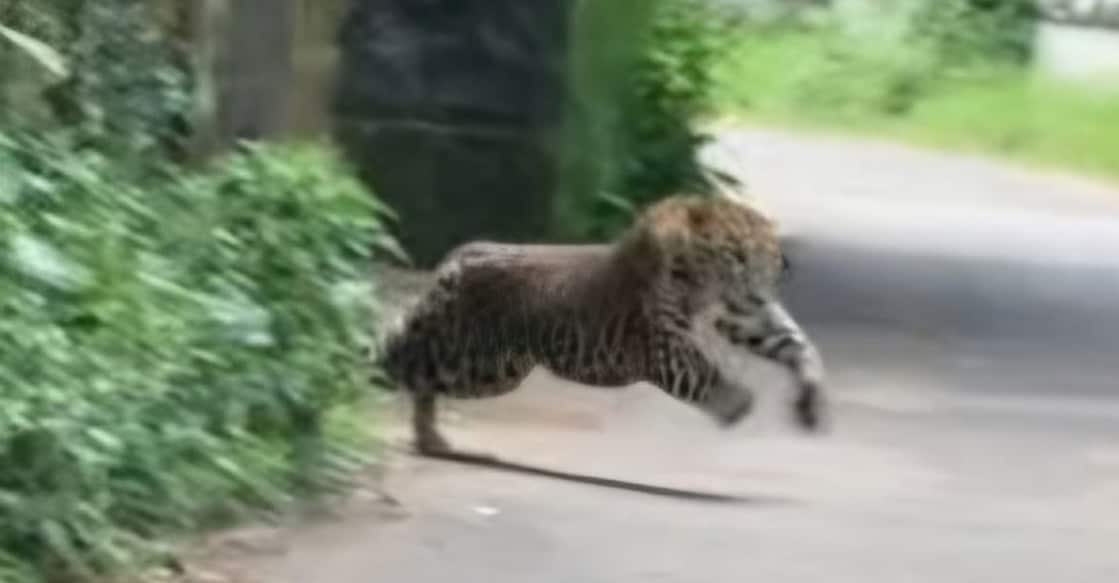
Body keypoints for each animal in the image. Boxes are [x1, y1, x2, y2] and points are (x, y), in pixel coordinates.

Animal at [378, 193, 829, 456]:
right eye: (738, 250)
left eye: (769, 247)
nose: (782, 267)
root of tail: (456, 257)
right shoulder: (661, 343)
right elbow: (700, 368)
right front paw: (738, 401)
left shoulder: (742, 316)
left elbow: (793, 343)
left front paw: (811, 399)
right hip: (475, 360)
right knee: (397, 357)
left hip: (490, 368)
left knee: (420, 378)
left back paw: (430, 439)